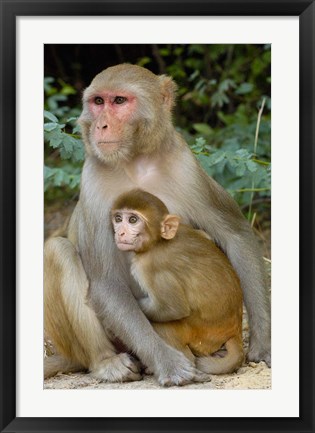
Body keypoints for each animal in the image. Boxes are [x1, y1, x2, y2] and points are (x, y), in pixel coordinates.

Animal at [111, 187, 244, 372]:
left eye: (132, 220)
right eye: (118, 219)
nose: (120, 232)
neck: (157, 242)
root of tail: (235, 331)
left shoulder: (149, 268)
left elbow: (173, 309)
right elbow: (204, 235)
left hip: (200, 336)